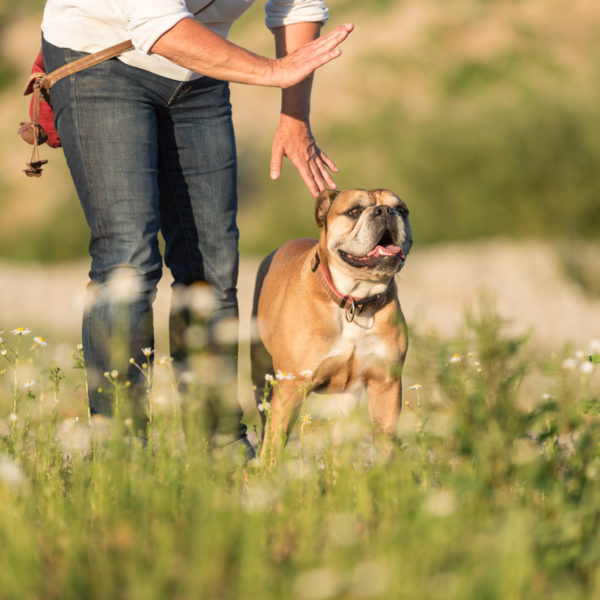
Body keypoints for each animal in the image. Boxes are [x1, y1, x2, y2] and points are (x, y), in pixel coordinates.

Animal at [250, 190, 412, 462]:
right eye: (354, 211)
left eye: (401, 210)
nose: (386, 211)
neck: (353, 300)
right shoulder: (290, 387)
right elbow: (275, 442)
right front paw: (269, 470)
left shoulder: (385, 383)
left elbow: (385, 440)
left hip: (344, 398)